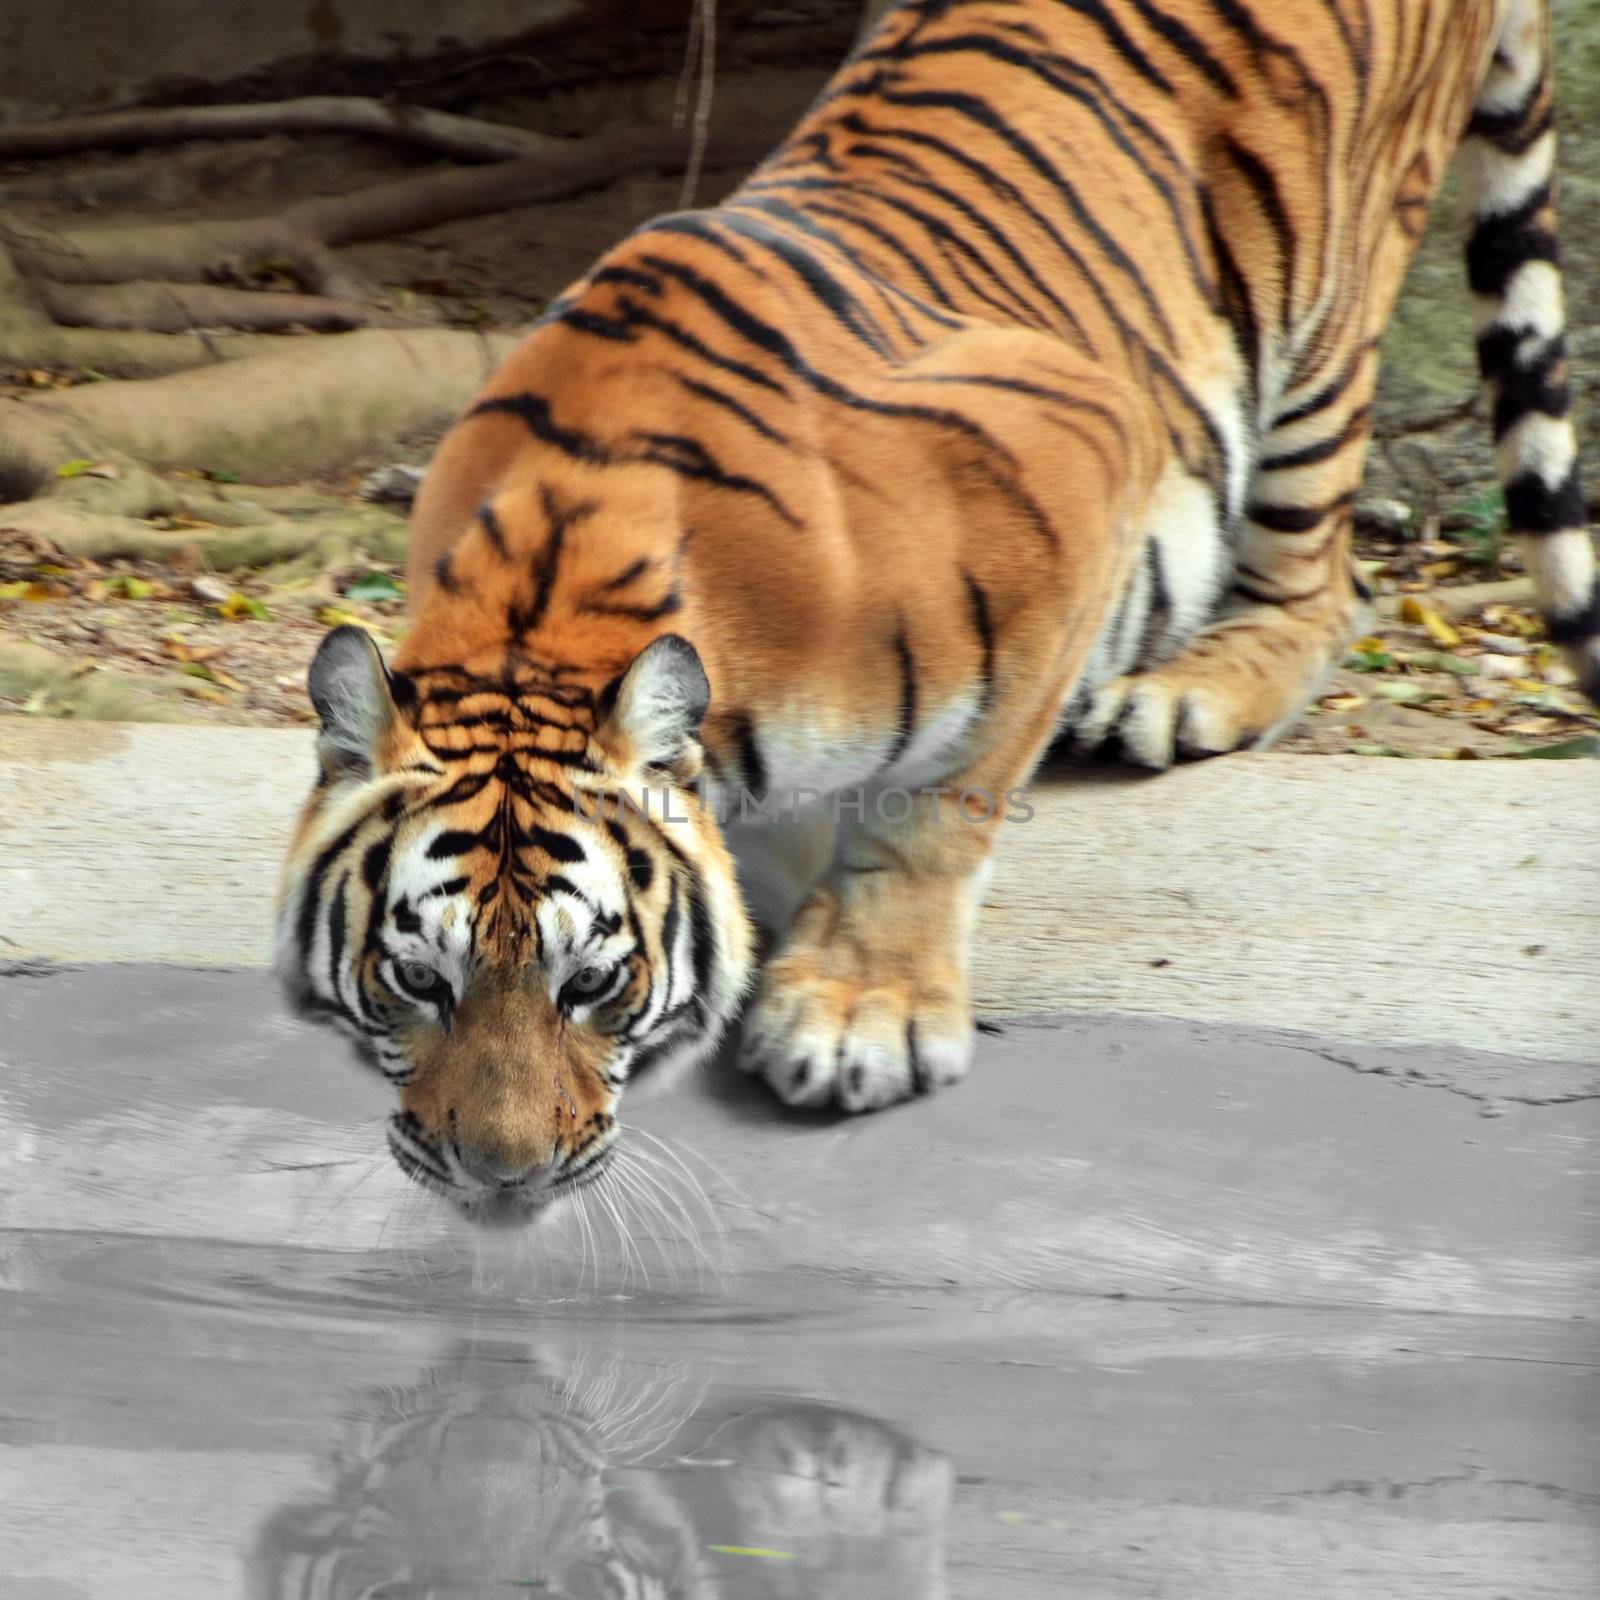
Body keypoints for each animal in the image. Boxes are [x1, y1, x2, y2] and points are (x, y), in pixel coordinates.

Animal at [272, 0, 1587, 1222]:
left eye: (589, 984)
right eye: (414, 981)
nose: (497, 1179)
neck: (539, 606)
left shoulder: (1078, 451)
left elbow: (931, 811)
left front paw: (858, 1008)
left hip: (1327, 300)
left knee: (1328, 578)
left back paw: (1178, 693)